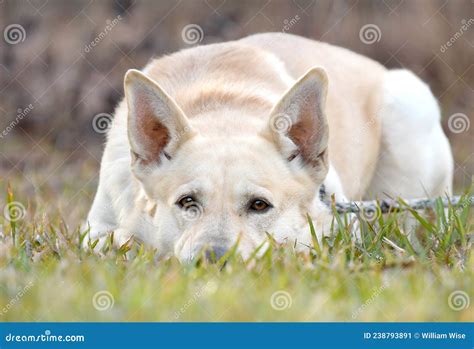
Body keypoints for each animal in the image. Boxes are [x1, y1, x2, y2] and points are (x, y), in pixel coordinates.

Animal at [84, 32, 452, 260]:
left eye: (259, 205)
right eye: (187, 202)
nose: (213, 260)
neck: (223, 107)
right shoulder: (94, 229)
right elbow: (113, 239)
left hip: (406, 119)